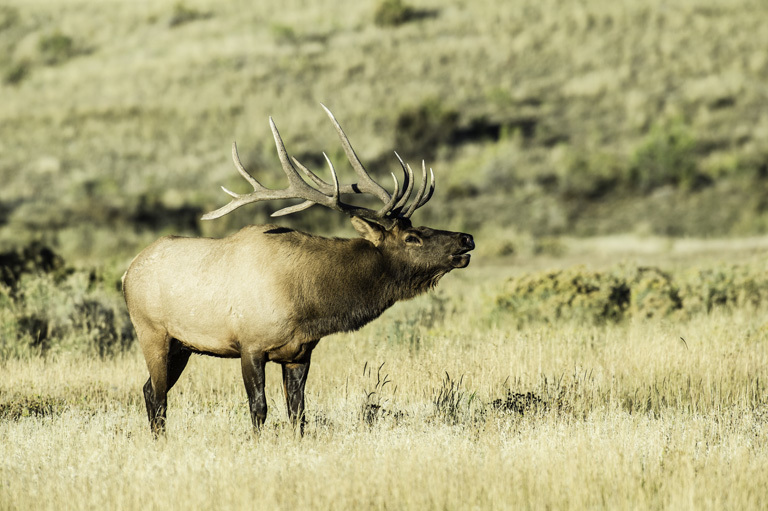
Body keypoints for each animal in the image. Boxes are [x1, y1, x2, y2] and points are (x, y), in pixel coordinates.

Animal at [122, 104, 474, 436]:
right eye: (411, 237)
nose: (465, 239)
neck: (310, 303)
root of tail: (127, 272)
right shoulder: (250, 345)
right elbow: (259, 409)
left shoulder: (299, 353)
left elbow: (298, 413)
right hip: (152, 332)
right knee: (158, 395)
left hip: (183, 346)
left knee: (149, 390)